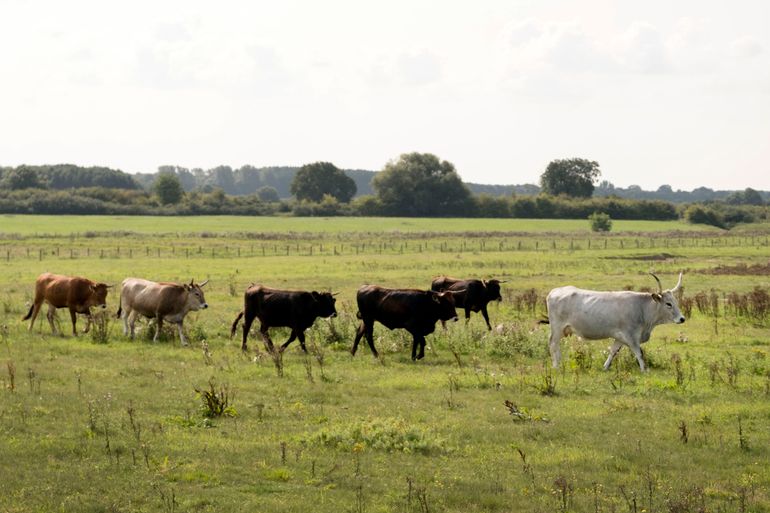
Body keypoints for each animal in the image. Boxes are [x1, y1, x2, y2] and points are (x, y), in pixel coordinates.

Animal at [540, 272, 684, 372]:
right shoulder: (631, 336)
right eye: (668, 304)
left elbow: (613, 351)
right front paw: (644, 370)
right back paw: (556, 366)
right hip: (557, 328)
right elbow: (639, 353)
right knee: (553, 344)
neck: (642, 308)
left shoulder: (620, 337)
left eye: (676, 302)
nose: (682, 318)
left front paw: (605, 367)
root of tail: (555, 291)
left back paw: (560, 363)